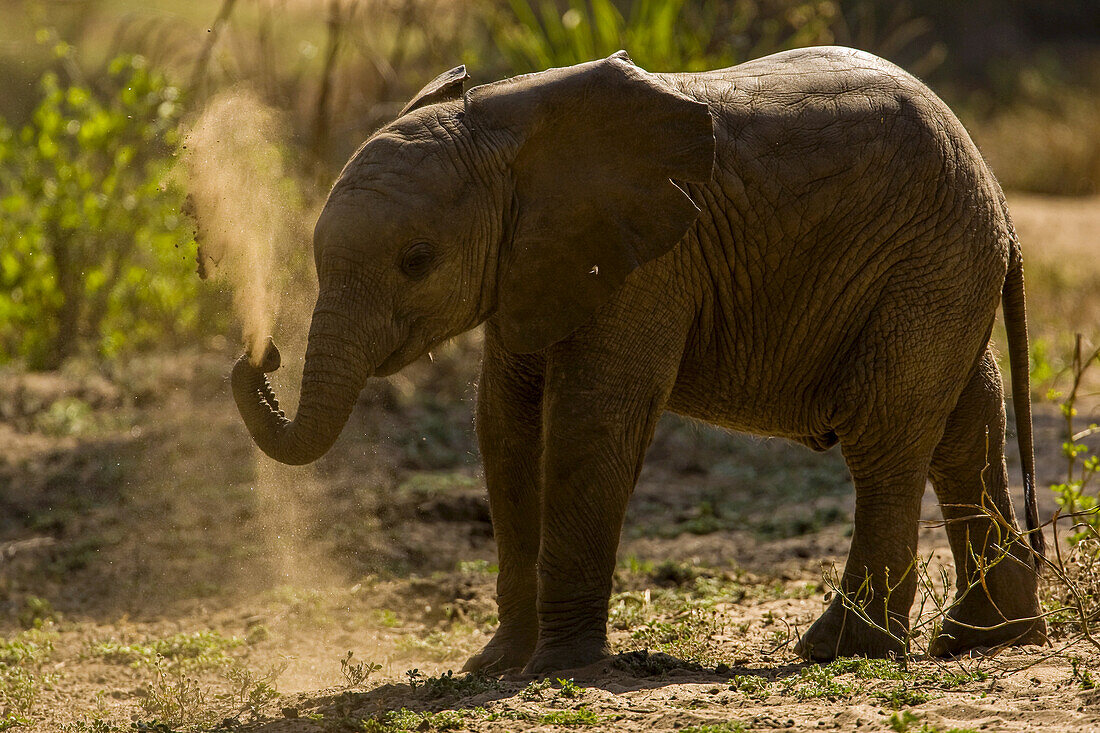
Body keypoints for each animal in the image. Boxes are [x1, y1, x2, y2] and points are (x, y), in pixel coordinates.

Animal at [234, 47, 1047, 673]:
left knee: (885, 439)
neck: (506, 129)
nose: (261, 351)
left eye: (416, 260)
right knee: (963, 430)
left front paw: (557, 667)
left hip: (925, 264)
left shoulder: (652, 260)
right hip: (945, 267)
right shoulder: (531, 260)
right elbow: (504, 426)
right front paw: (494, 666)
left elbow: (591, 421)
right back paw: (982, 639)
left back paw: (842, 650)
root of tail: (1002, 204)